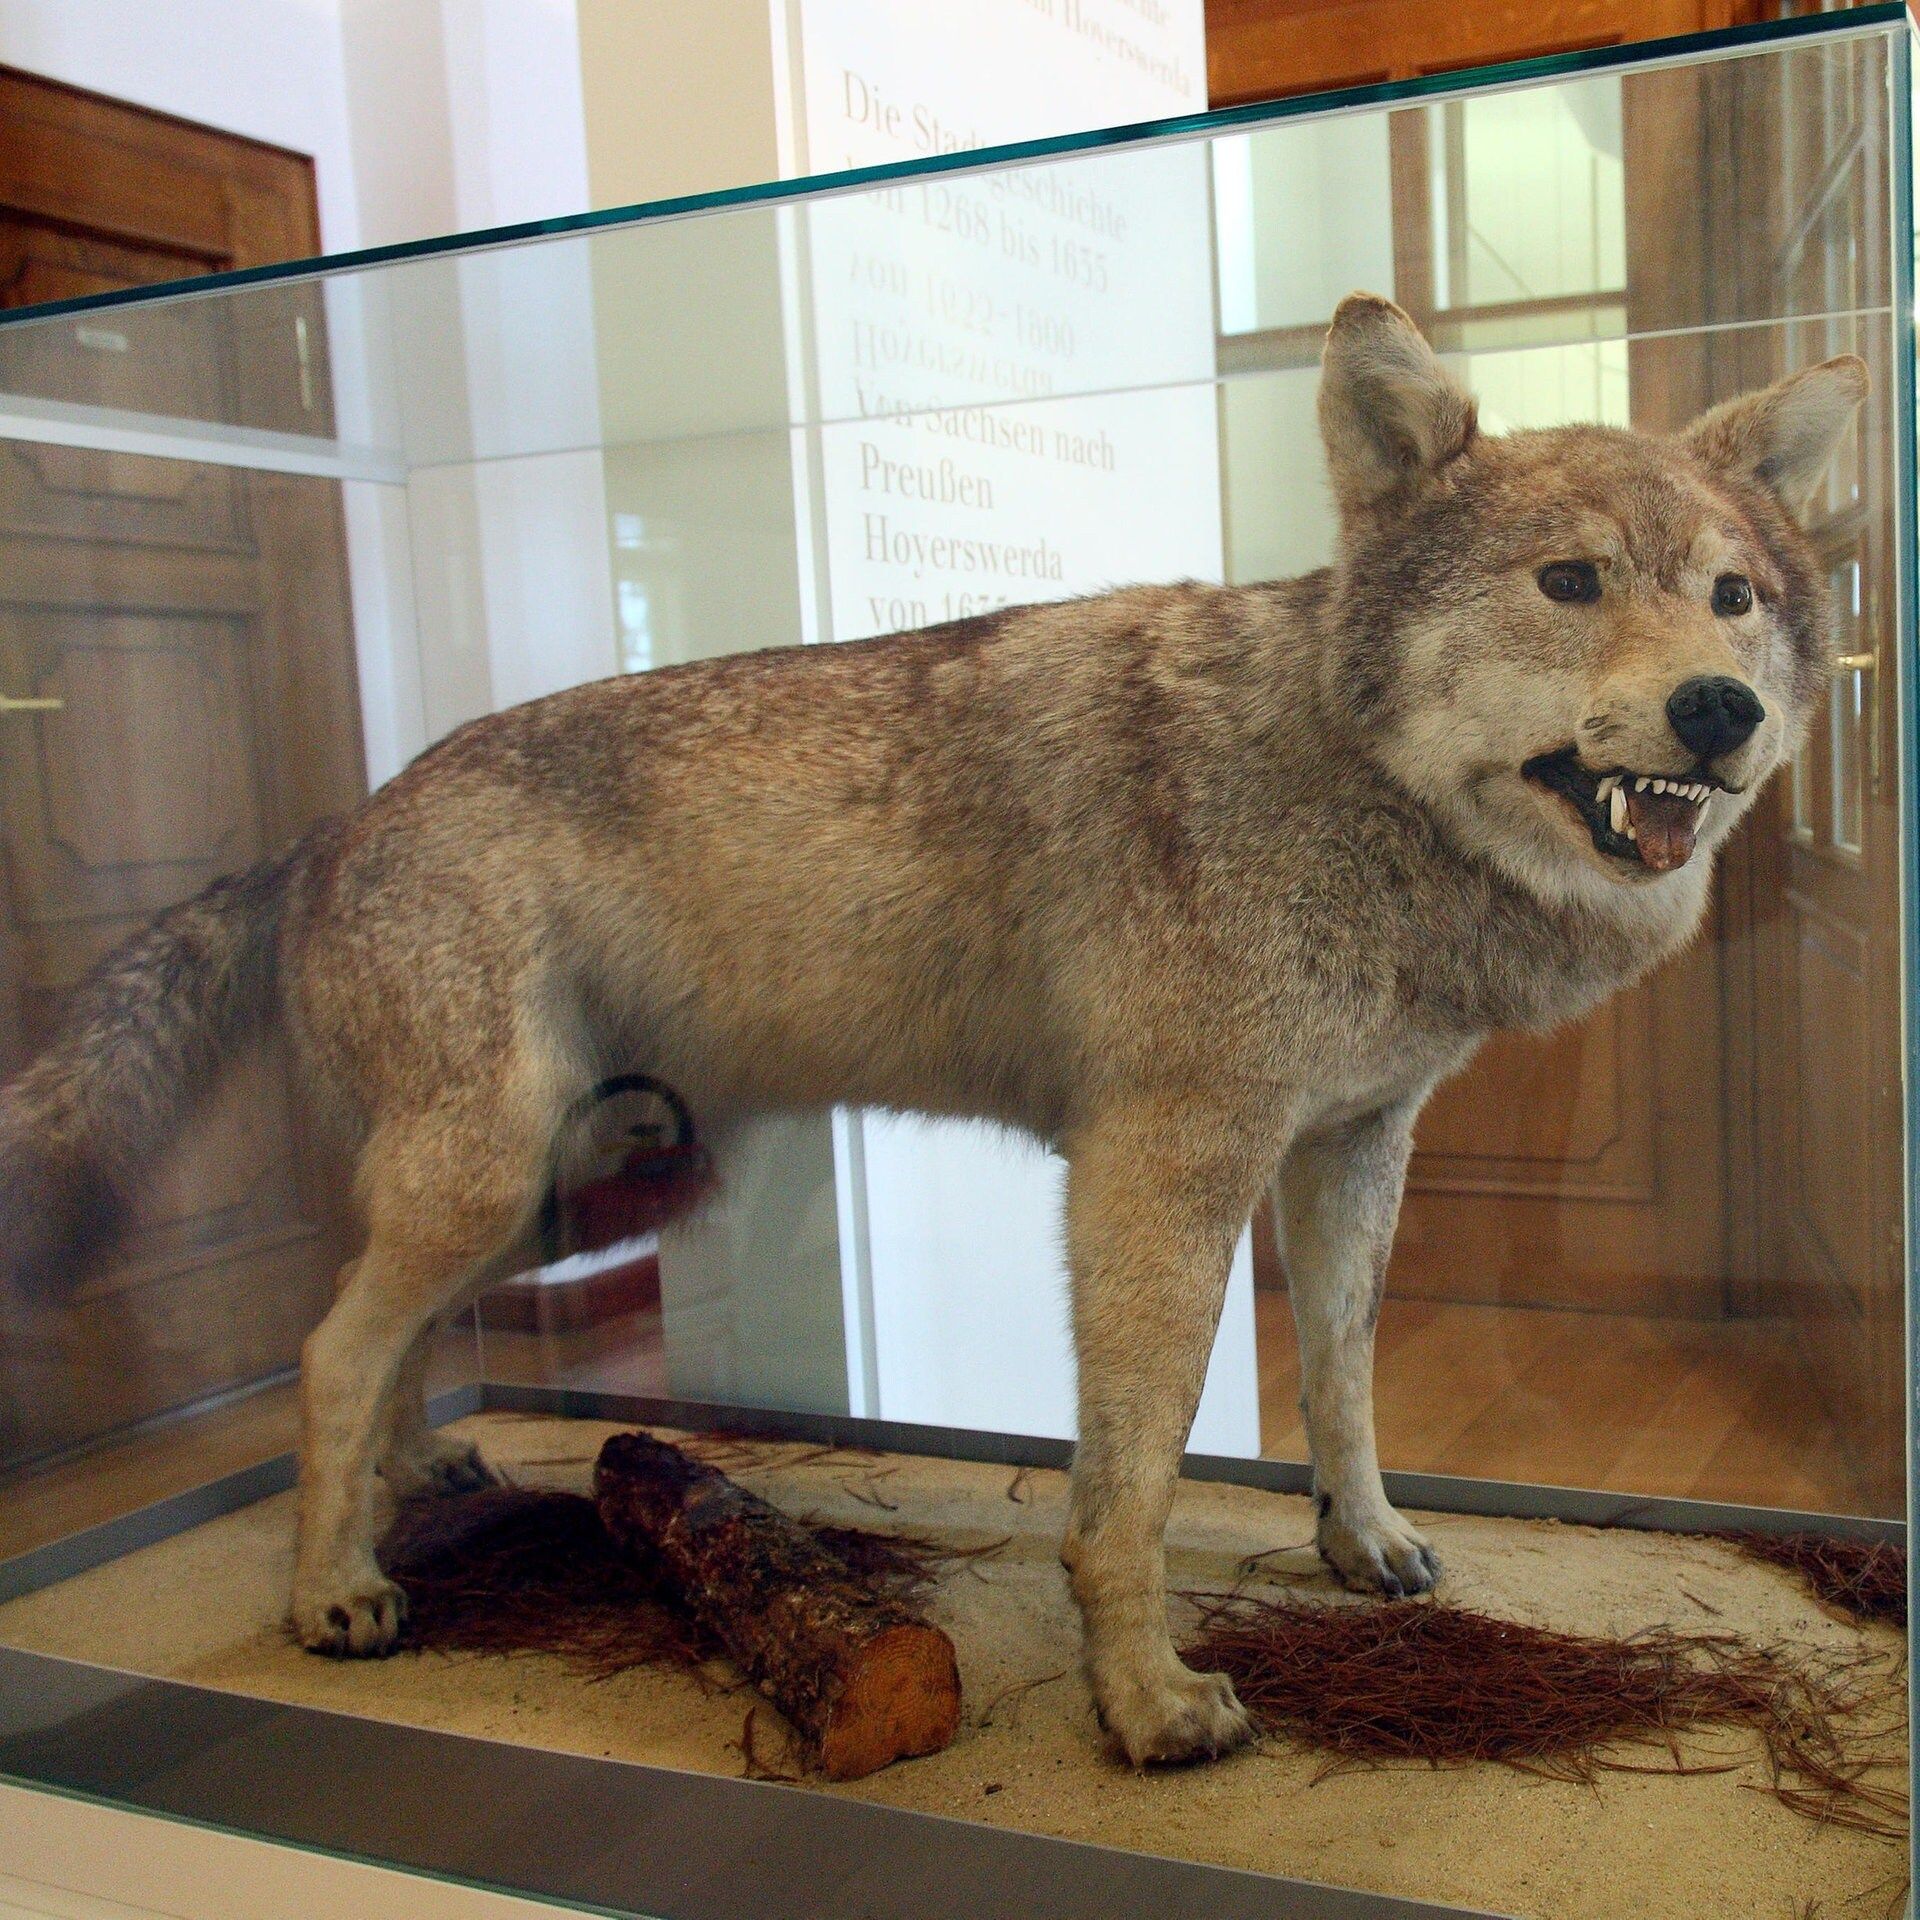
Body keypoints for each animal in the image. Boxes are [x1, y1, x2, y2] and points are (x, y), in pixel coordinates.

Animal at [0, 295, 1863, 1765]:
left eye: (1730, 599)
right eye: (1571, 581)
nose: (1723, 709)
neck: (1336, 779)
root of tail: (327, 828)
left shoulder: (1350, 1148)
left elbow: (1340, 1382)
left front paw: (1371, 1541)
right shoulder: (1160, 1171)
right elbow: (1135, 1481)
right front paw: (1146, 1704)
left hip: (540, 1184)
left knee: (376, 1337)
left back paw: (417, 1482)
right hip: (498, 1173)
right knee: (325, 1349)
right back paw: (332, 1589)